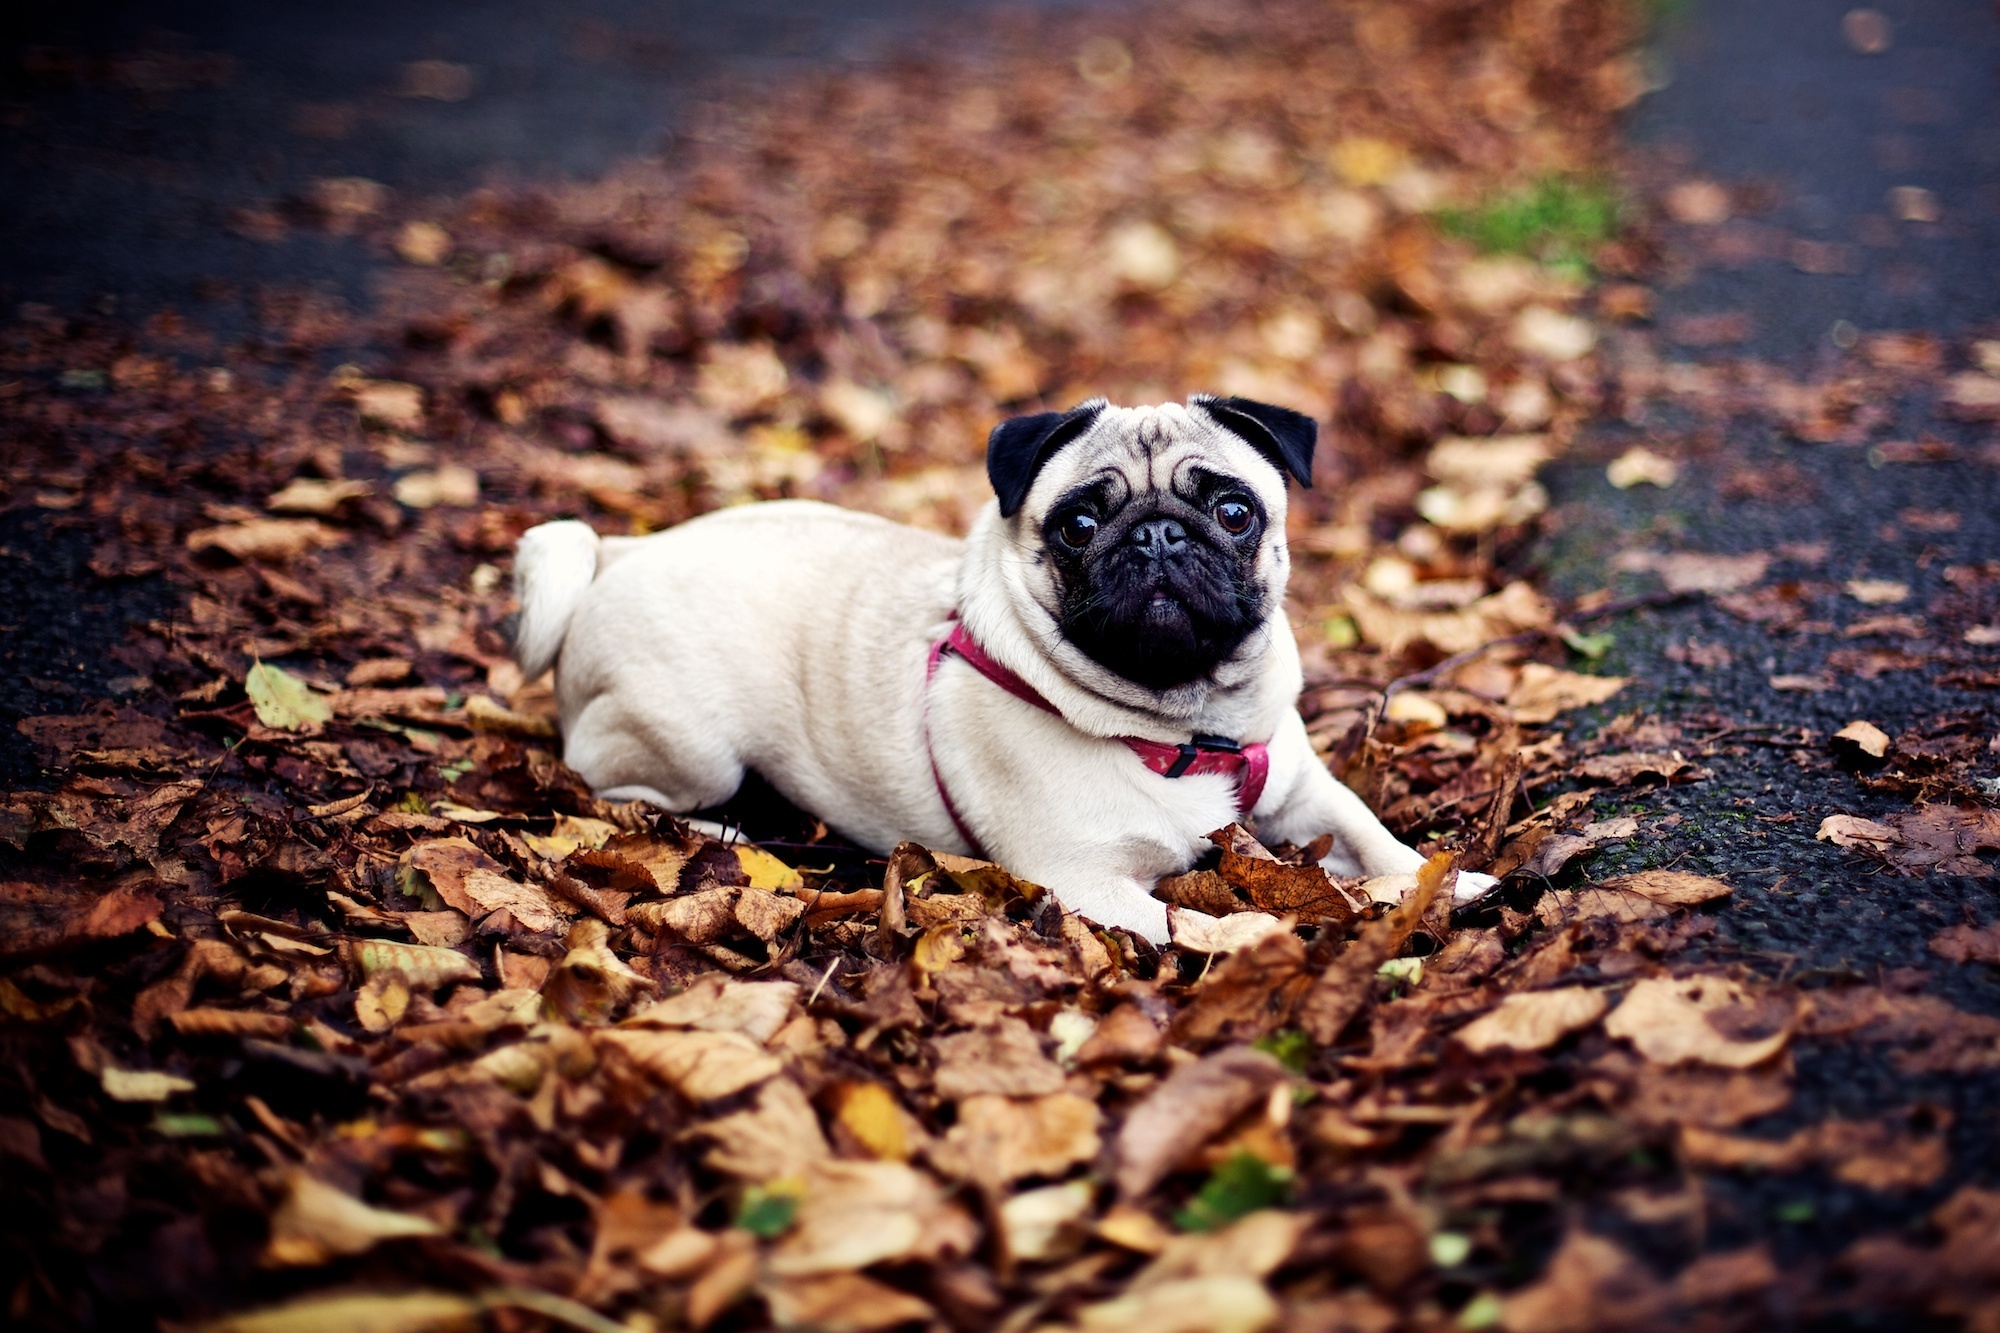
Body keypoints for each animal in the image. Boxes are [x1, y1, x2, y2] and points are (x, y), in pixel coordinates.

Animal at [508, 390, 1496, 940]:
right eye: (1080, 524)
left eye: (1233, 510)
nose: (1158, 534)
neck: (1182, 725)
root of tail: (621, 552)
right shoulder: (1092, 883)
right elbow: (1223, 925)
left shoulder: (1305, 794)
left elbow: (1376, 836)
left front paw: (1455, 883)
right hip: (688, 744)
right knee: (608, 783)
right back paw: (717, 829)